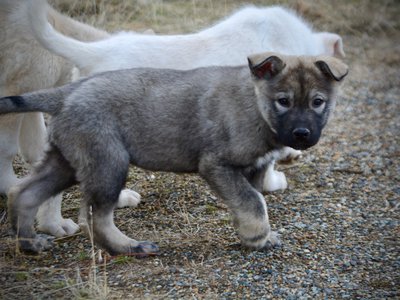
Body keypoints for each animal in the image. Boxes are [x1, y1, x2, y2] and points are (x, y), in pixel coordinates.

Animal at [0, 51, 346, 255]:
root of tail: (68, 92)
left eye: (317, 102)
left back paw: (29, 243)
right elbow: (253, 201)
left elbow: (252, 201)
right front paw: (258, 237)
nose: (301, 135)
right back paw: (129, 247)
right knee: (95, 217)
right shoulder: (216, 164)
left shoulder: (251, 169)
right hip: (109, 163)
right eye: (283, 101)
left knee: (24, 192)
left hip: (68, 161)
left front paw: (252, 236)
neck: (257, 108)